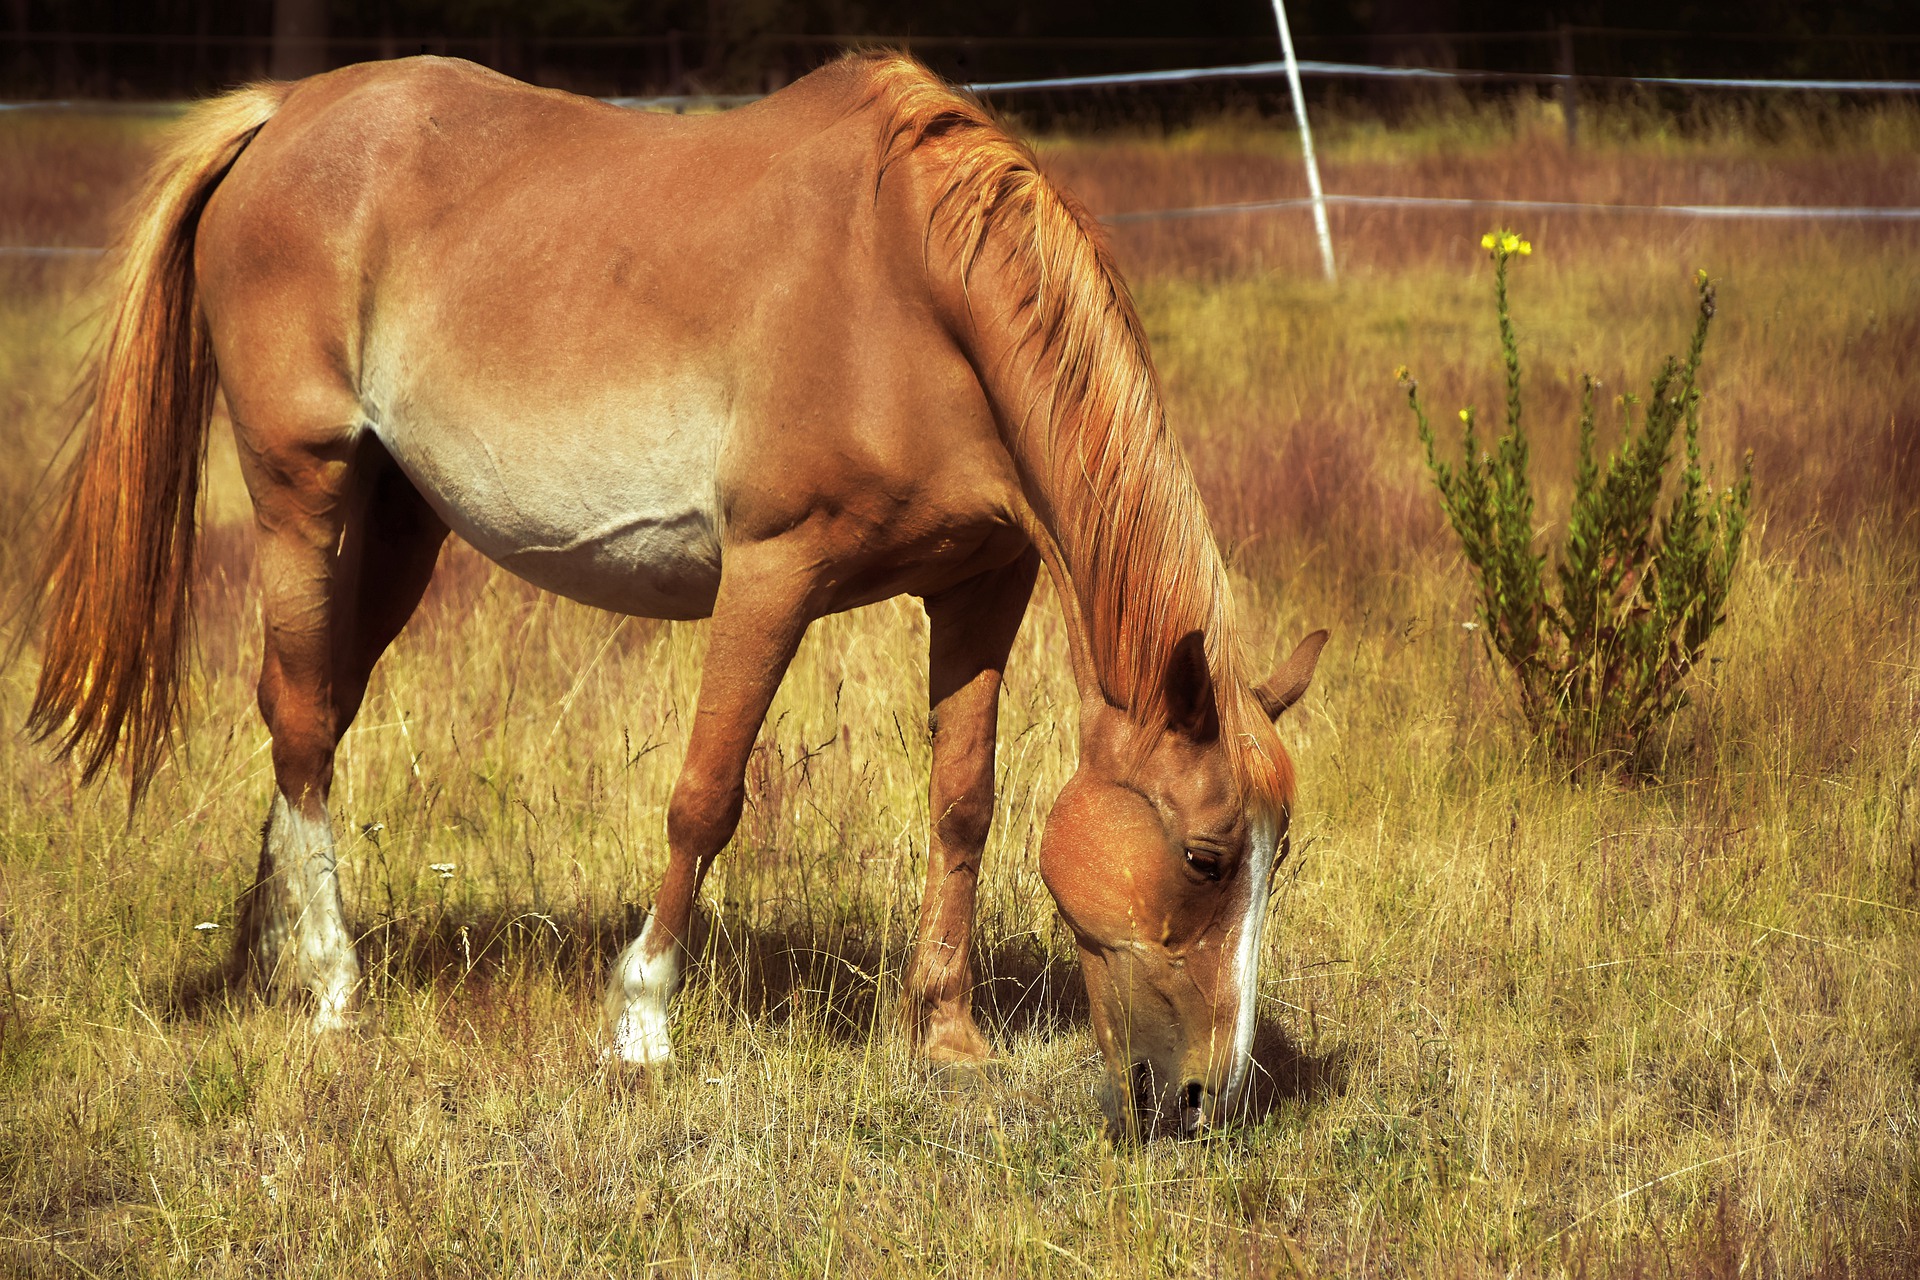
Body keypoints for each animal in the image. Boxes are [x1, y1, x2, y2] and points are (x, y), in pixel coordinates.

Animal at [30, 50, 1320, 1136]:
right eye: (1207, 856)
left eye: (1279, 853)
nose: (1208, 1096)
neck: (908, 289)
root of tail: (287, 110)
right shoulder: (772, 571)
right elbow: (705, 797)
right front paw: (643, 1018)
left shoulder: (979, 586)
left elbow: (964, 803)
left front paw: (947, 1035)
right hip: (305, 491)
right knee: (303, 719)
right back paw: (337, 985)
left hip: (395, 523)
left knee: (307, 706)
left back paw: (273, 951)